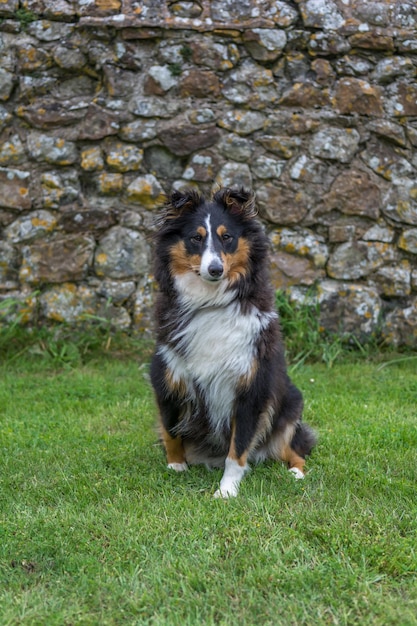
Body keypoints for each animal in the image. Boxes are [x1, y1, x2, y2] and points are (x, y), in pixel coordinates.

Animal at [150, 185, 316, 498]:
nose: (215, 269)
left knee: (295, 446)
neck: (211, 302)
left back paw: (296, 473)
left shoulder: (251, 387)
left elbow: (237, 448)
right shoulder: (168, 375)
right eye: (196, 238)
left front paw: (226, 491)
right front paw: (175, 466)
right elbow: (170, 429)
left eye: (227, 237)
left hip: (290, 405)